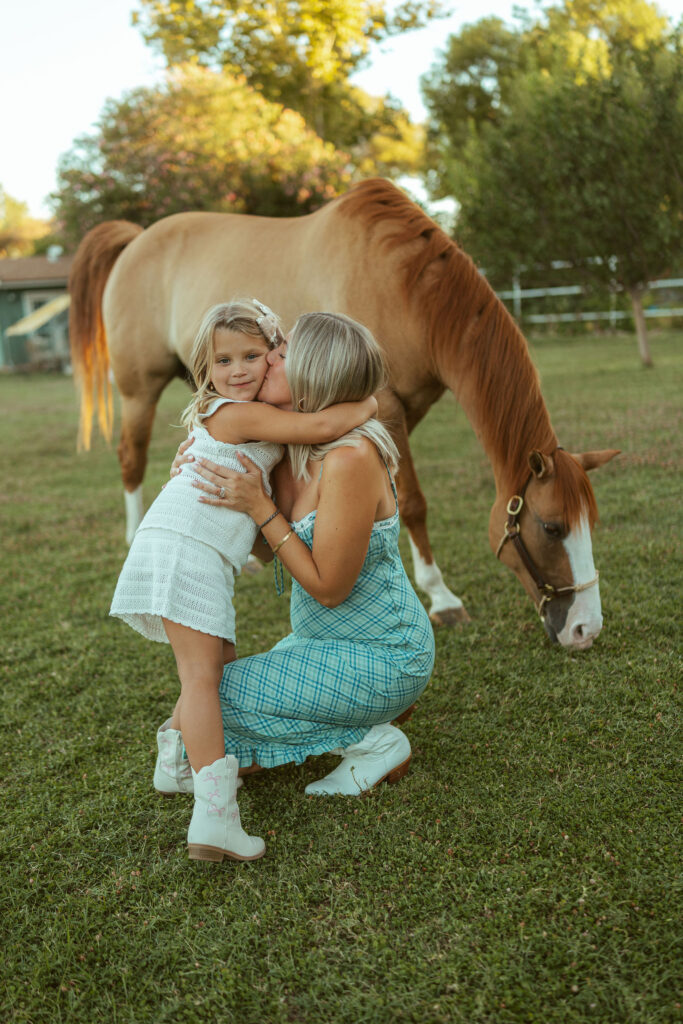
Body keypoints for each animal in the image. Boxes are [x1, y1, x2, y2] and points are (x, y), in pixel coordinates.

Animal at [69, 178, 618, 650]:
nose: (585, 629)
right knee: (132, 457)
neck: (400, 285)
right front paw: (442, 598)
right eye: (551, 528)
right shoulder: (386, 407)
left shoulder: (400, 409)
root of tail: (137, 239)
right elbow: (412, 503)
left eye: (590, 521)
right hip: (139, 392)